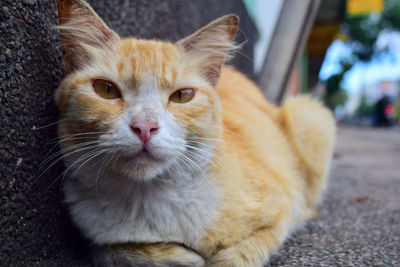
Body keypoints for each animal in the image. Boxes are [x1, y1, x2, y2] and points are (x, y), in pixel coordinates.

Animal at [55, 1, 334, 266]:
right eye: (106, 89)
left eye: (182, 96)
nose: (145, 127)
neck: (148, 200)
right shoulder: (93, 233)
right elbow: (110, 251)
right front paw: (176, 256)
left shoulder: (282, 207)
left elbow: (243, 253)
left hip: (308, 116)